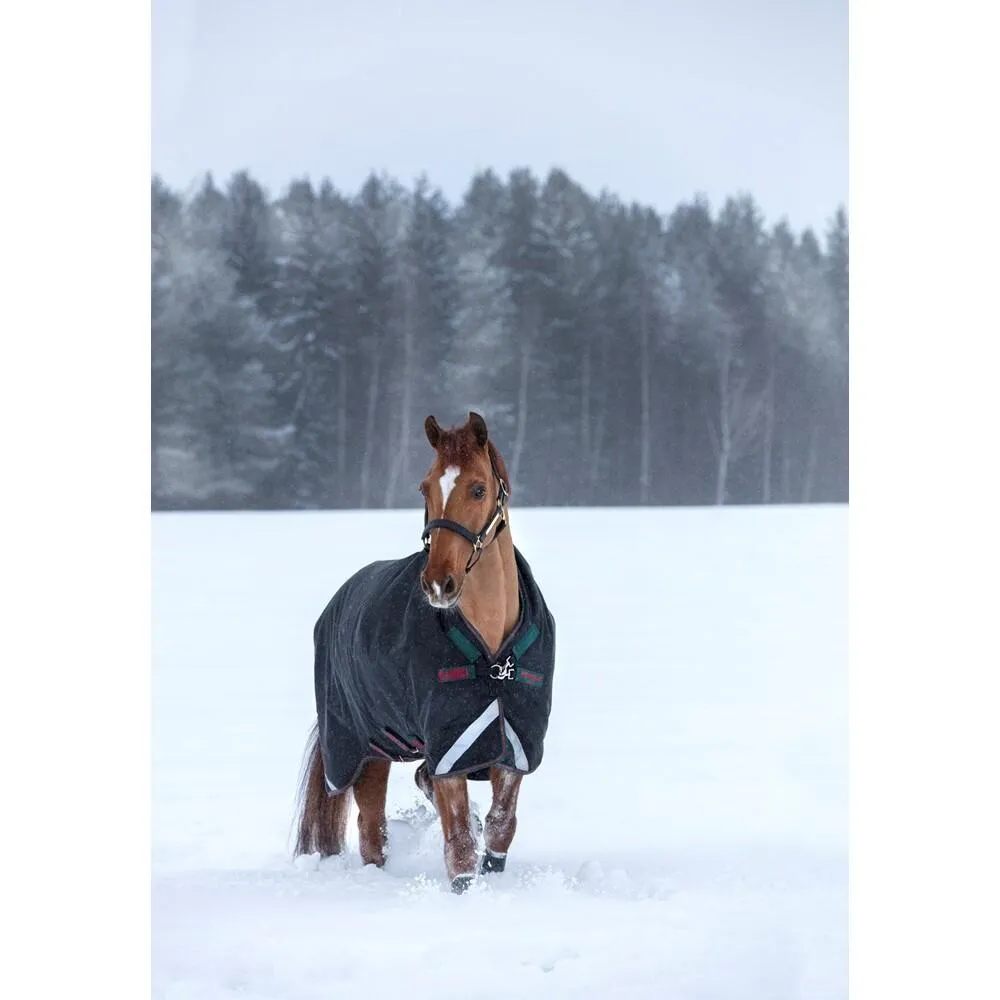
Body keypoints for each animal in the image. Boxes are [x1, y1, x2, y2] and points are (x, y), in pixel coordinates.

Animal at [293, 411, 556, 892]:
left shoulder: (515, 742)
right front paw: (465, 890)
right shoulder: (449, 743)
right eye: (425, 487)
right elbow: (460, 843)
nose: (438, 583)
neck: (493, 657)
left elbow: (500, 827)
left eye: (478, 488)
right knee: (371, 832)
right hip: (366, 750)